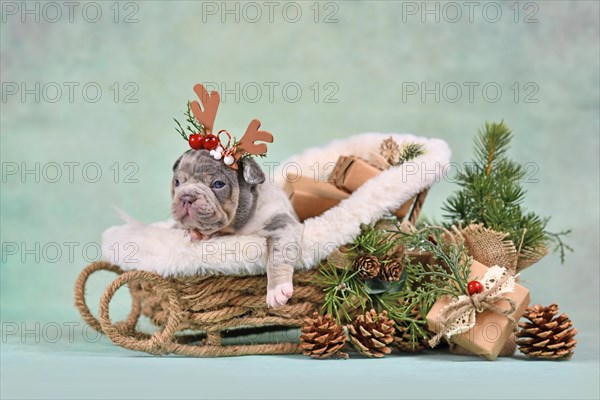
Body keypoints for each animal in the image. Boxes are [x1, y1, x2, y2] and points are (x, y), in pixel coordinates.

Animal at [170, 148, 300, 308]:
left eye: (218, 184)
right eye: (177, 182)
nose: (186, 197)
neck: (237, 227)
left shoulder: (282, 224)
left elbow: (278, 255)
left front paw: (277, 289)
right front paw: (197, 234)